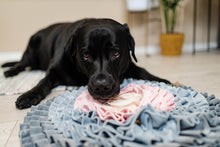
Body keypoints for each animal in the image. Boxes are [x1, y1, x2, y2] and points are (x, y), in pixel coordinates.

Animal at [0, 18, 171, 109]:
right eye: (86, 55)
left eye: (115, 53)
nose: (101, 86)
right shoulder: (54, 70)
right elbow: (43, 82)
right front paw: (29, 95)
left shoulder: (129, 64)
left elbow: (143, 71)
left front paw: (165, 82)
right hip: (31, 49)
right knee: (22, 63)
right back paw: (10, 71)